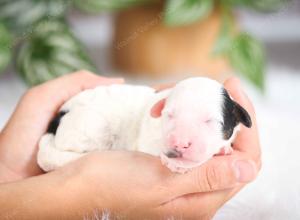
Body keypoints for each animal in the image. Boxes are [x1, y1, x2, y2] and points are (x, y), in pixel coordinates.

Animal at [38, 77, 253, 174]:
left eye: (211, 121)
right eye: (169, 115)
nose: (180, 142)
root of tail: (56, 120)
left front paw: (223, 148)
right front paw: (173, 162)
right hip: (91, 128)